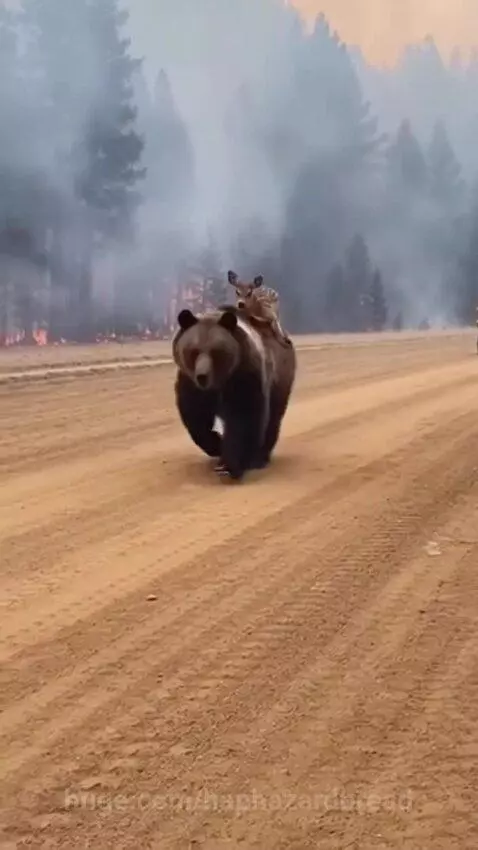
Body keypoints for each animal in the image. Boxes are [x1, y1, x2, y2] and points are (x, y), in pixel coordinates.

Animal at [172, 306, 296, 481]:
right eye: (194, 351)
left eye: (216, 351)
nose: (202, 376)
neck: (219, 382)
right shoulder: (191, 383)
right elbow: (195, 417)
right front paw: (216, 445)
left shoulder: (244, 377)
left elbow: (243, 418)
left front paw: (229, 465)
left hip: (281, 378)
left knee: (273, 418)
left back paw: (260, 458)